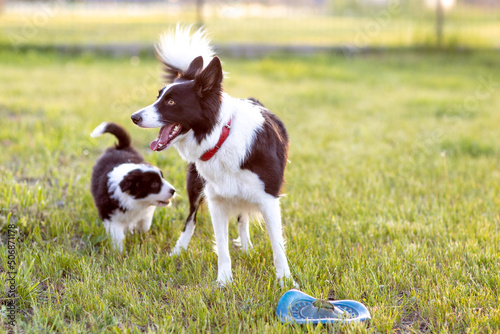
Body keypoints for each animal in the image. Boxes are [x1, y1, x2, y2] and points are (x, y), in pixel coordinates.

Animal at [90, 121, 176, 252]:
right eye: (155, 184)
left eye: (163, 177)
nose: (173, 191)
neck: (137, 202)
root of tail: (120, 147)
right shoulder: (111, 217)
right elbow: (118, 237)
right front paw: (119, 253)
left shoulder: (146, 212)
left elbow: (145, 224)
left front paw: (138, 233)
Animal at [131, 26, 294, 288]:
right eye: (158, 97)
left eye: (171, 101)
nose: (134, 117)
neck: (221, 137)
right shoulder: (216, 199)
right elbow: (222, 246)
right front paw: (224, 282)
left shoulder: (269, 198)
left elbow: (277, 245)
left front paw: (285, 281)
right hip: (196, 184)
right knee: (191, 219)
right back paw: (178, 251)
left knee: (242, 217)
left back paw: (247, 248)